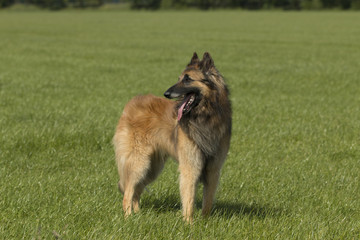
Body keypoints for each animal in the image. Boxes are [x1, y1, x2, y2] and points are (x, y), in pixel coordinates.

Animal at [113, 52, 233, 223]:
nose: (166, 94)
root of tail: (131, 104)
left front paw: (205, 222)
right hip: (139, 163)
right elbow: (189, 199)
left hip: (152, 167)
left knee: (137, 190)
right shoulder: (190, 167)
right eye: (179, 78)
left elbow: (208, 201)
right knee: (128, 192)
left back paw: (138, 214)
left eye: (188, 79)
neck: (205, 116)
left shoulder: (213, 169)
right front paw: (189, 223)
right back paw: (129, 217)